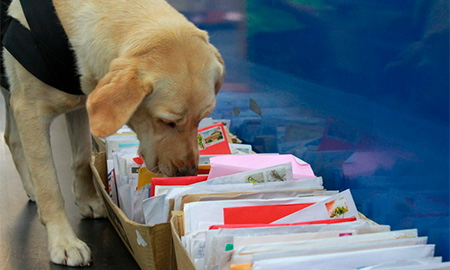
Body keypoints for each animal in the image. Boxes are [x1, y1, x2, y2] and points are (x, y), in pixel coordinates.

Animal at [1, 0, 223, 266]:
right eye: (167, 122)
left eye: (201, 118)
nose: (187, 173)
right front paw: (64, 241)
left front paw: (87, 200)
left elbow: (82, 160)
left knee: (11, 138)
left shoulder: (80, 104)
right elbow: (50, 186)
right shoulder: (31, 110)